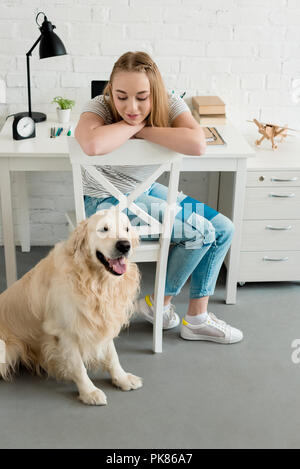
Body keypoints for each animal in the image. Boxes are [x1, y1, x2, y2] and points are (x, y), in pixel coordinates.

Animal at [0, 207, 142, 404]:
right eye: (104, 229)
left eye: (126, 229)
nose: (124, 245)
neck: (95, 282)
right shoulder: (65, 332)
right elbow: (78, 366)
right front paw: (89, 392)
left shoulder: (102, 321)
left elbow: (112, 355)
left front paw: (122, 378)